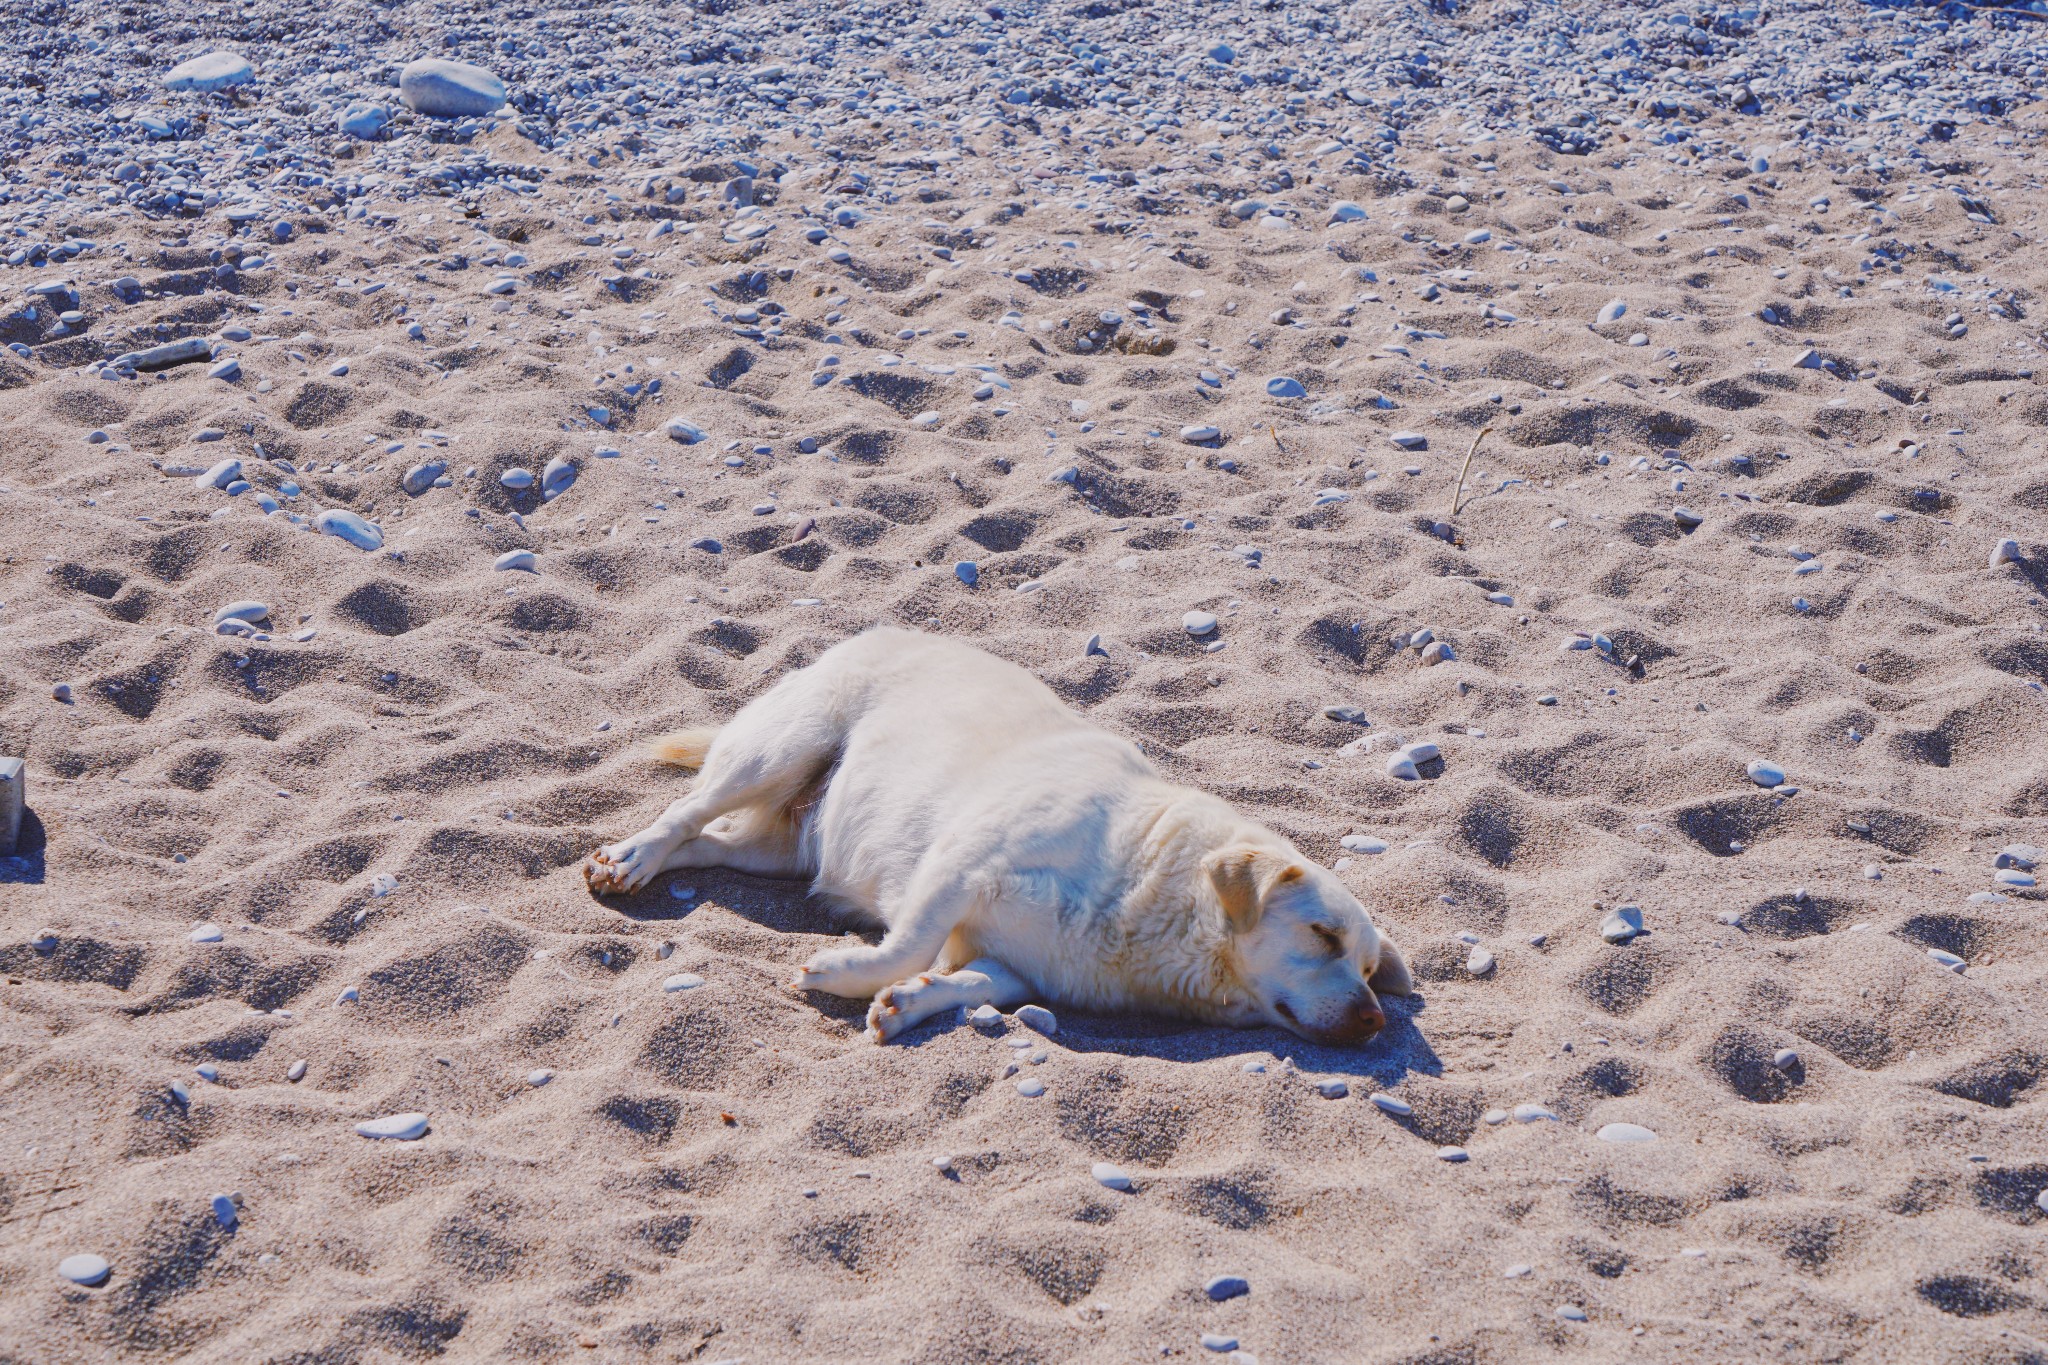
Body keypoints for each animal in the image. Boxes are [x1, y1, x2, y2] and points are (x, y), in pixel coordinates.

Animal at [581, 630, 1409, 1047]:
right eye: (1324, 936)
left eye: (1370, 967)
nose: (1376, 1018)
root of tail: (878, 627)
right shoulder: (957, 866)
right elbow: (907, 944)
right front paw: (844, 971)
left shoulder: (1018, 966)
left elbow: (974, 983)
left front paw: (909, 1002)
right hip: (781, 747)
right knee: (685, 809)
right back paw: (627, 859)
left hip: (778, 848)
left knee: (710, 840)